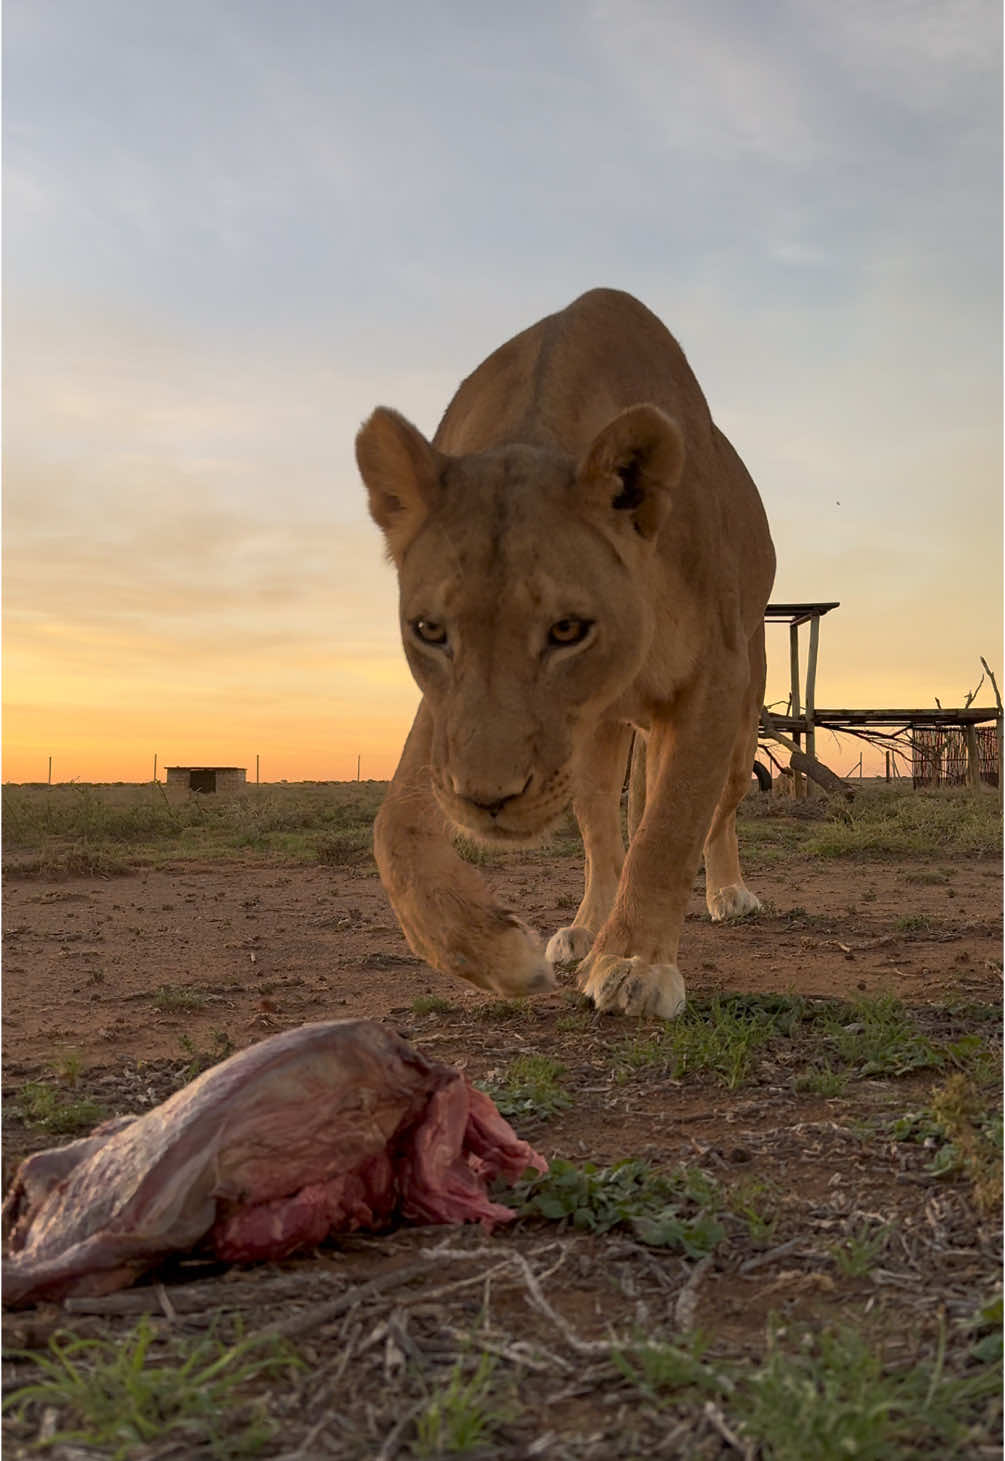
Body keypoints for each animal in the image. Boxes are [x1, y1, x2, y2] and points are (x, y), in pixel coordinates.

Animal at [355, 288, 775, 1018]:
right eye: (430, 630)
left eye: (567, 630)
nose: (488, 801)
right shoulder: (445, 714)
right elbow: (395, 828)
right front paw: (497, 956)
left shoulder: (715, 676)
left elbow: (671, 825)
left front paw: (636, 964)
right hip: (596, 746)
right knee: (605, 835)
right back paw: (585, 929)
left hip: (743, 716)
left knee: (713, 814)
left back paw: (726, 893)